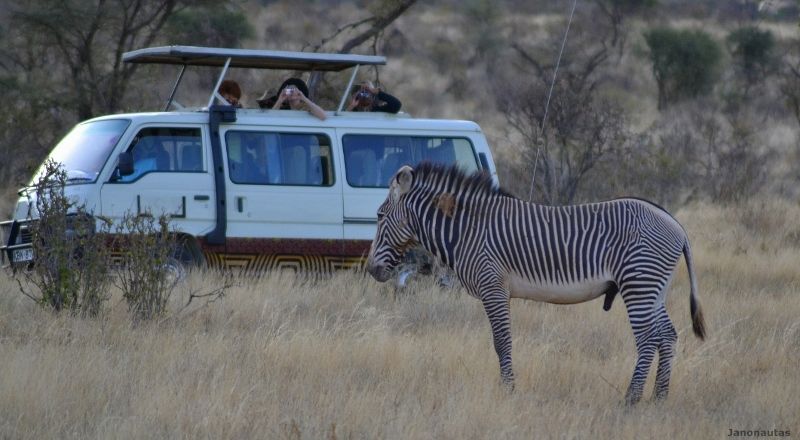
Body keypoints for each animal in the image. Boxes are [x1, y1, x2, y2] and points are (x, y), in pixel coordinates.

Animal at [366, 163, 706, 404]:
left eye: (380, 216)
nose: (371, 269)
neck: (468, 230)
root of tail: (676, 225)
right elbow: (502, 342)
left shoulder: (493, 287)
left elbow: (501, 342)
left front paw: (508, 390)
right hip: (652, 288)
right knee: (667, 336)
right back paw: (658, 398)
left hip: (639, 284)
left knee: (648, 339)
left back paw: (631, 399)